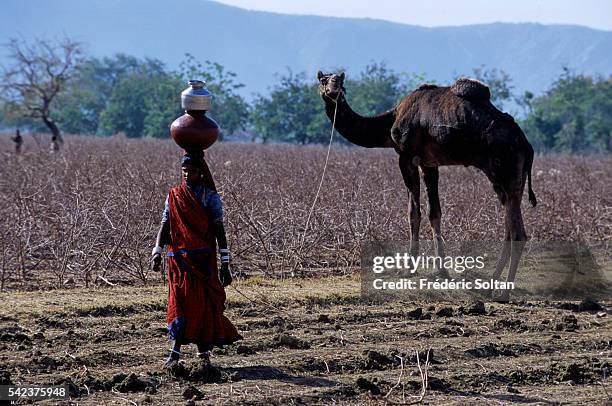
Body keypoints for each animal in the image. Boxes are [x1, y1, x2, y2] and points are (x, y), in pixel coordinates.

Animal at [318, 70, 536, 302]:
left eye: (340, 81)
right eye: (324, 80)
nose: (333, 91)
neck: (391, 121)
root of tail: (526, 144)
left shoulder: (407, 157)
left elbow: (413, 212)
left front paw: (408, 269)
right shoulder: (429, 163)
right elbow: (434, 212)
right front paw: (441, 271)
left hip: (505, 170)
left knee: (518, 233)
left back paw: (504, 292)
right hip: (506, 178)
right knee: (509, 227)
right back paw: (489, 286)